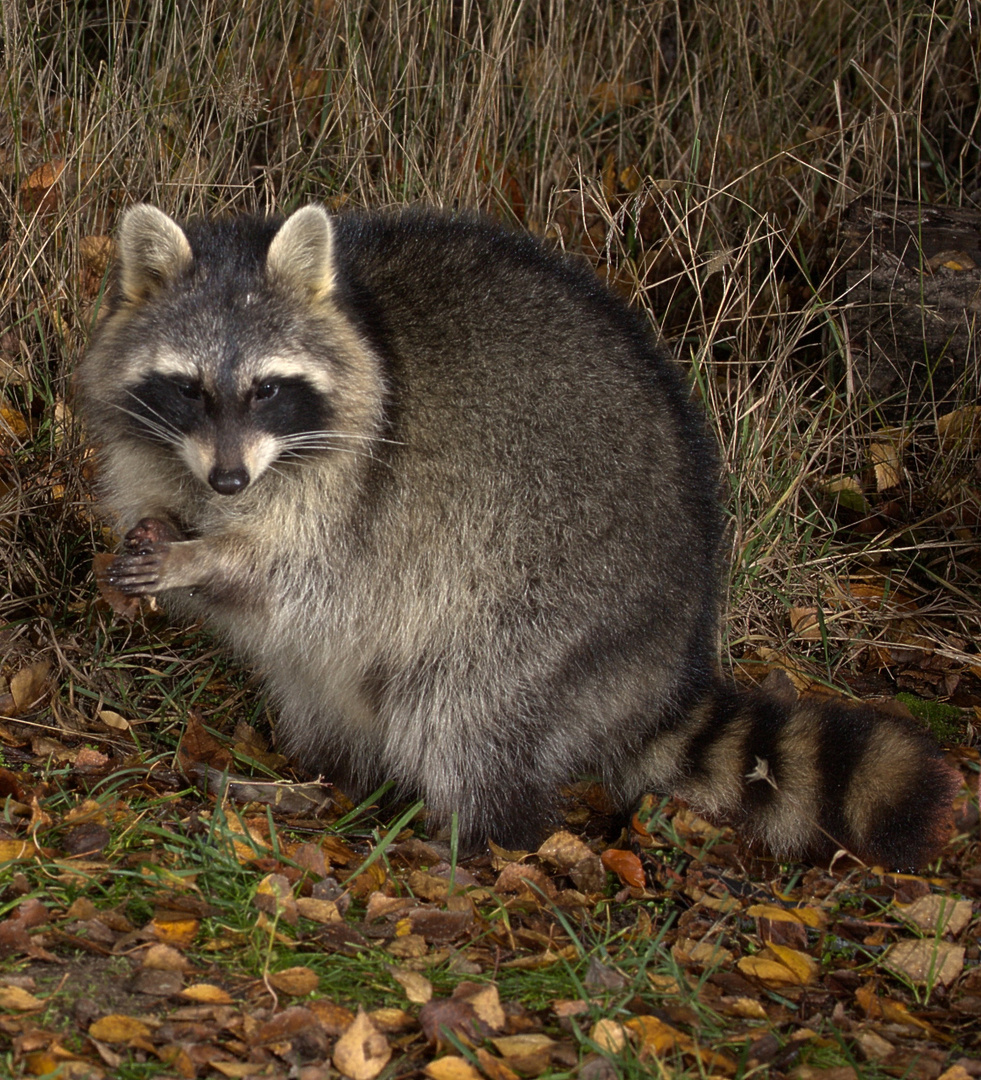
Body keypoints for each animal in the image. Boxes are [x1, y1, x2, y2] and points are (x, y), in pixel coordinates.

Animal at [76, 204, 959, 868]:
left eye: (266, 389)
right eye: (189, 388)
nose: (229, 483)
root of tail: (670, 660)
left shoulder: (354, 485)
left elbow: (290, 568)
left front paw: (203, 554)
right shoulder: (167, 449)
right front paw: (166, 530)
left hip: (545, 605)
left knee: (464, 711)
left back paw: (473, 836)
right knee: (321, 687)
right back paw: (326, 782)